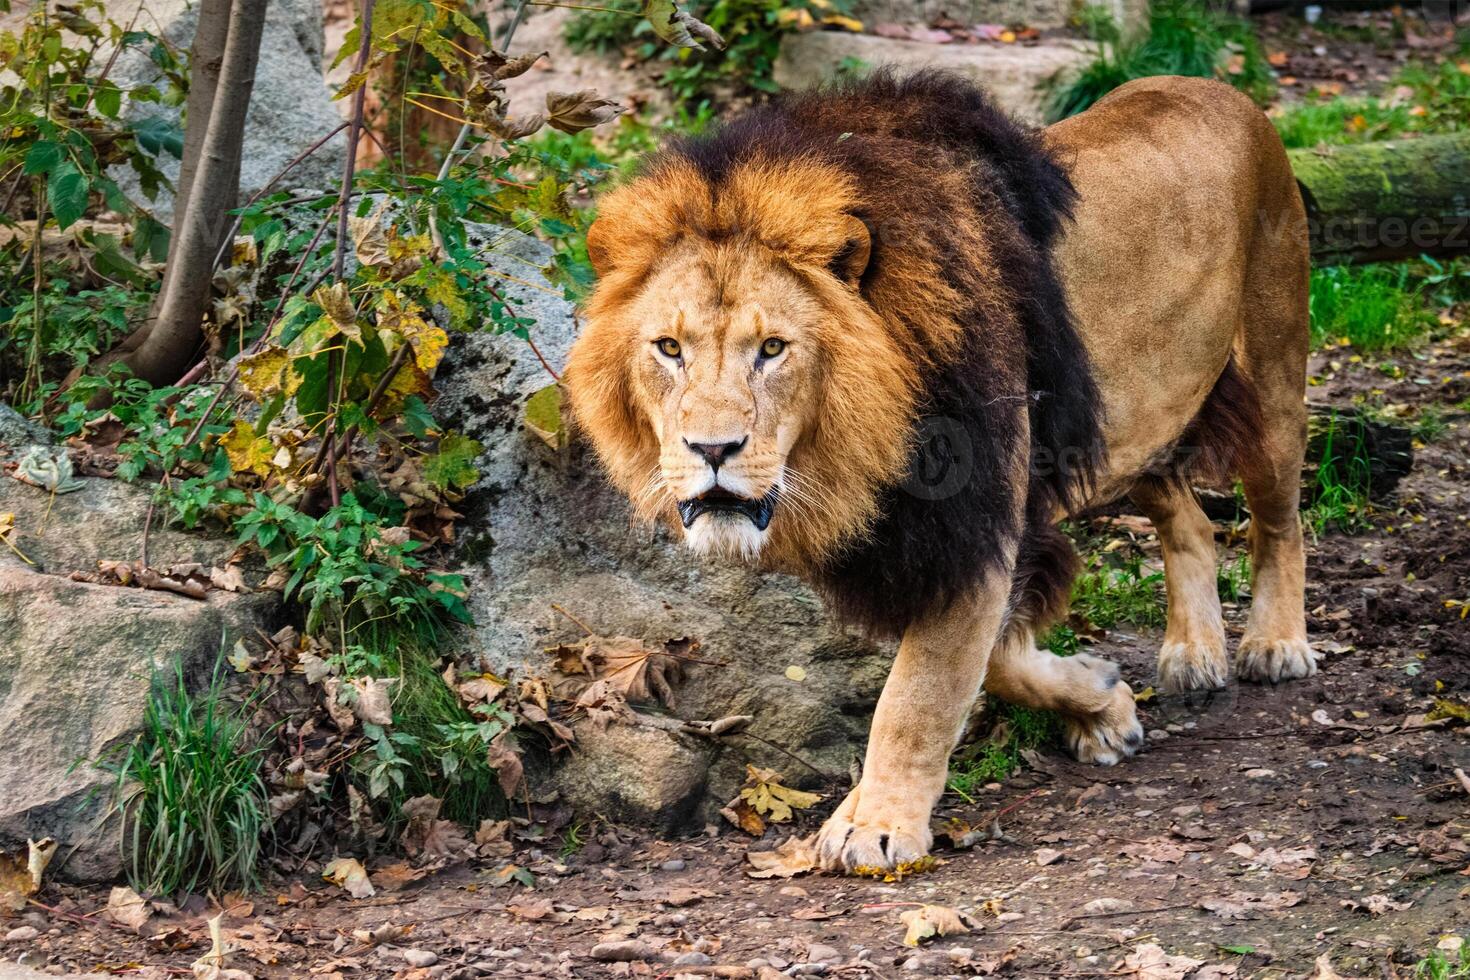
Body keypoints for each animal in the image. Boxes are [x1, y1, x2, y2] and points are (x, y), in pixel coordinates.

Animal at [558, 70, 1311, 875]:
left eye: (773, 349)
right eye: (669, 348)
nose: (713, 450)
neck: (865, 446)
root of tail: (1222, 90)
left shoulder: (979, 524)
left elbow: (921, 691)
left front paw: (876, 823)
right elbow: (998, 659)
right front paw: (1103, 700)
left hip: (1272, 372)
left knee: (1279, 518)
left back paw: (1275, 644)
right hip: (1134, 422)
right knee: (1188, 520)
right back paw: (1193, 652)